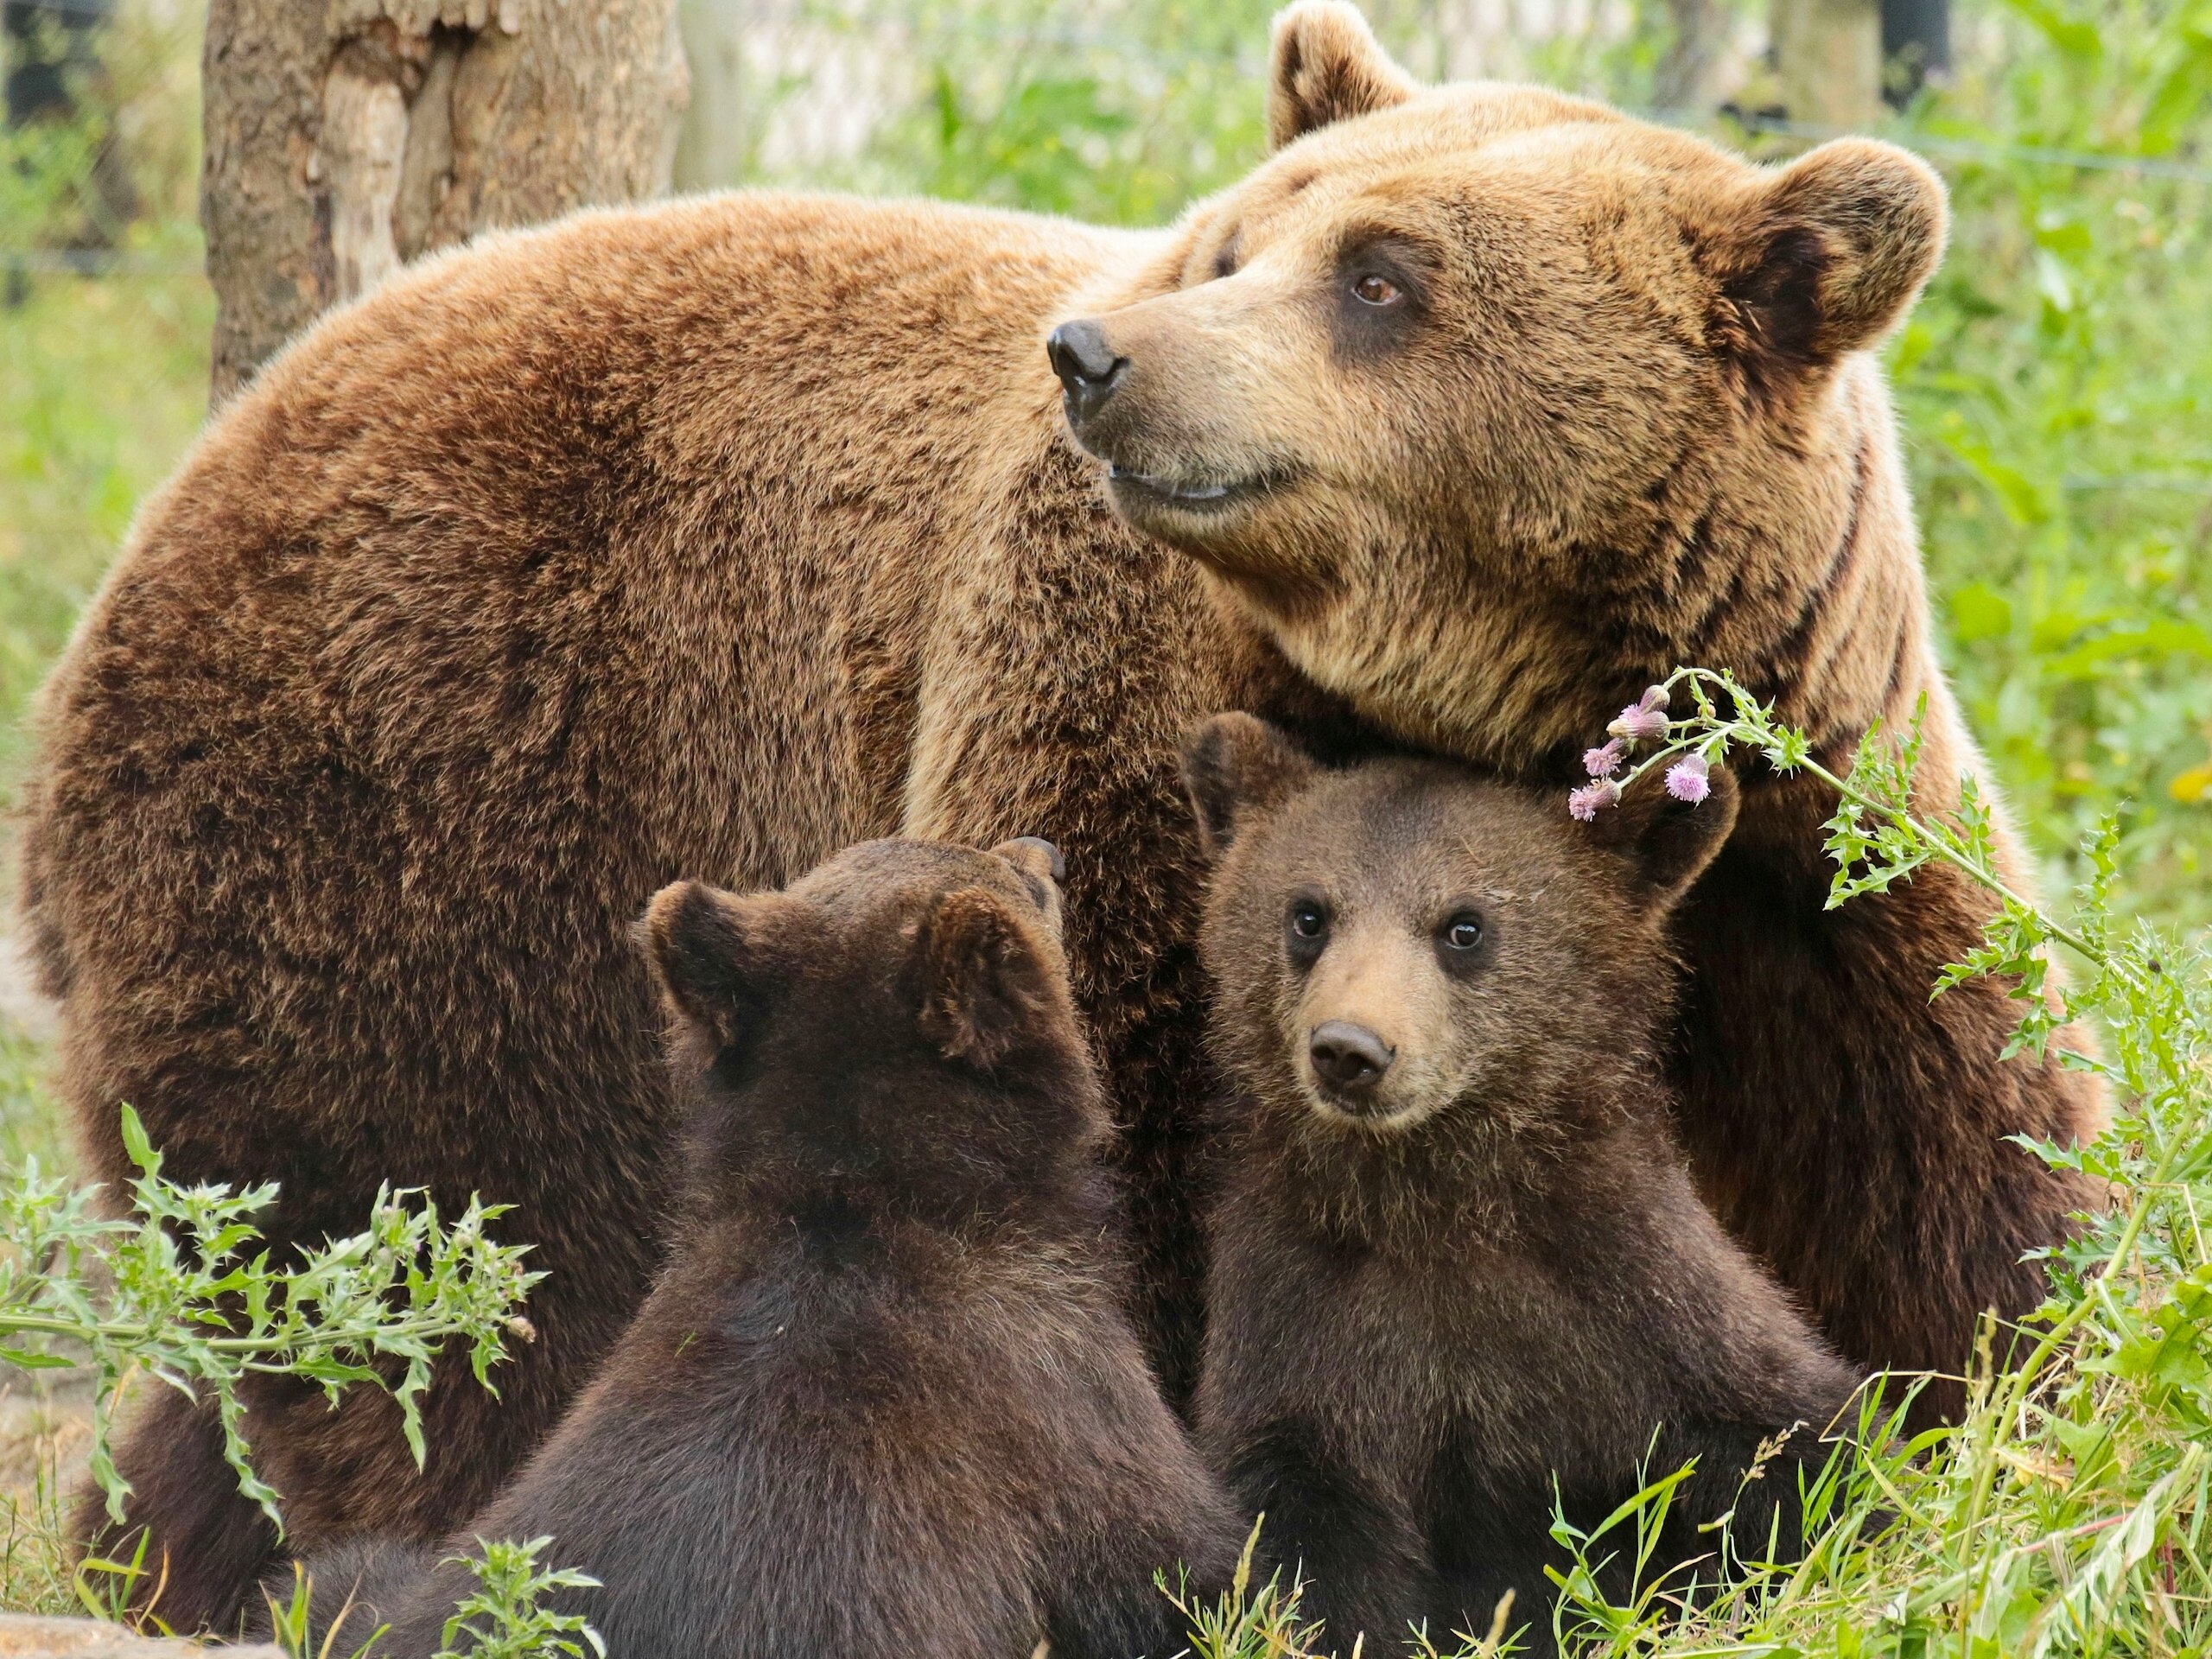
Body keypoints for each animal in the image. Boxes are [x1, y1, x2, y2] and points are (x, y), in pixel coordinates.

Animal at [17, 0, 2096, 1637]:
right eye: (1242, 240)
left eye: (1382, 275)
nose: (1099, 354)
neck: (1519, 697)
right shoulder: (1128, 709)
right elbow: (1145, 1161)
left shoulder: (1805, 824)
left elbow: (1952, 1179)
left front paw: (1985, 1441)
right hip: (423, 845)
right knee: (438, 1290)